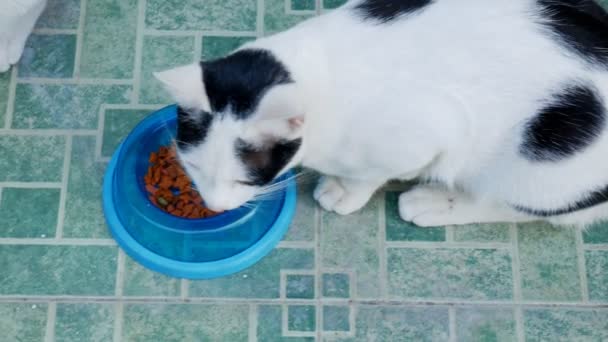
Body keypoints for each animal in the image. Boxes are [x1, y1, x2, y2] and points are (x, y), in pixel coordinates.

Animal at [154, 0, 608, 227]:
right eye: (193, 167)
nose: (214, 207)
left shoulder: (429, 133)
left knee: (533, 209)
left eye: (243, 179)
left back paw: (436, 203)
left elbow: (372, 173)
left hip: (539, 168)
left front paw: (345, 190)